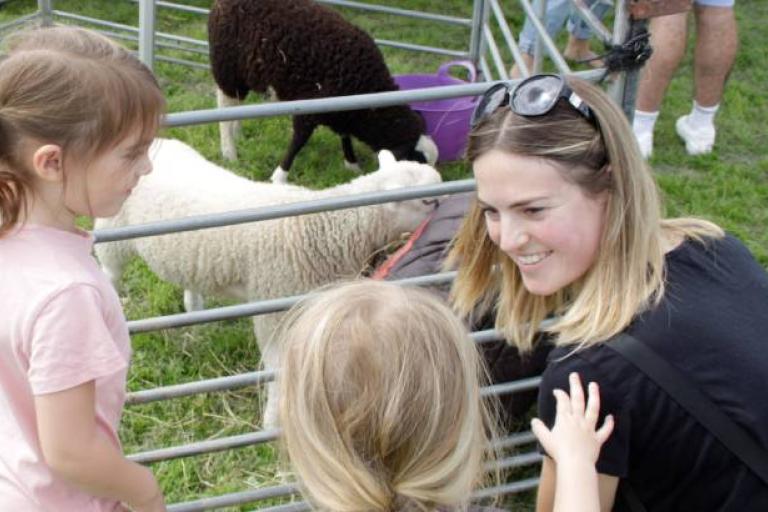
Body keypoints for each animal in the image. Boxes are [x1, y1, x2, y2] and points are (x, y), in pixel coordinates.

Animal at [95, 138, 440, 426]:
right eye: (427, 202)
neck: (322, 226)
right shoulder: (274, 305)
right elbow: (277, 367)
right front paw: (273, 423)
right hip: (112, 233)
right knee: (108, 275)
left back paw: (196, 323)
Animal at [208, 0, 438, 182]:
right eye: (415, 164)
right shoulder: (310, 107)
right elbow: (298, 141)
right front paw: (279, 177)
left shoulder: (343, 109)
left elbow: (344, 135)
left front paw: (352, 165)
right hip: (227, 68)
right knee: (224, 109)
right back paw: (229, 152)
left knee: (236, 108)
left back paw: (237, 135)